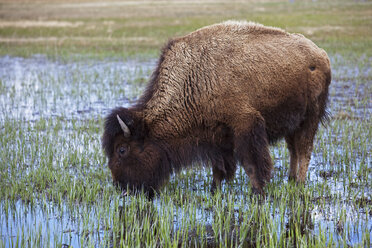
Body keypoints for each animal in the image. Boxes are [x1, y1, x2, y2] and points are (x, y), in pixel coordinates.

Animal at [101, 20, 332, 198]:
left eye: (122, 149)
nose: (122, 188)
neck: (194, 79)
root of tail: (320, 54)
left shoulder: (246, 125)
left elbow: (251, 163)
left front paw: (257, 192)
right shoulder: (216, 137)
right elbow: (219, 167)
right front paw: (214, 190)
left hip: (310, 118)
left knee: (304, 150)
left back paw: (299, 183)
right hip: (294, 123)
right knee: (294, 150)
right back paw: (291, 180)